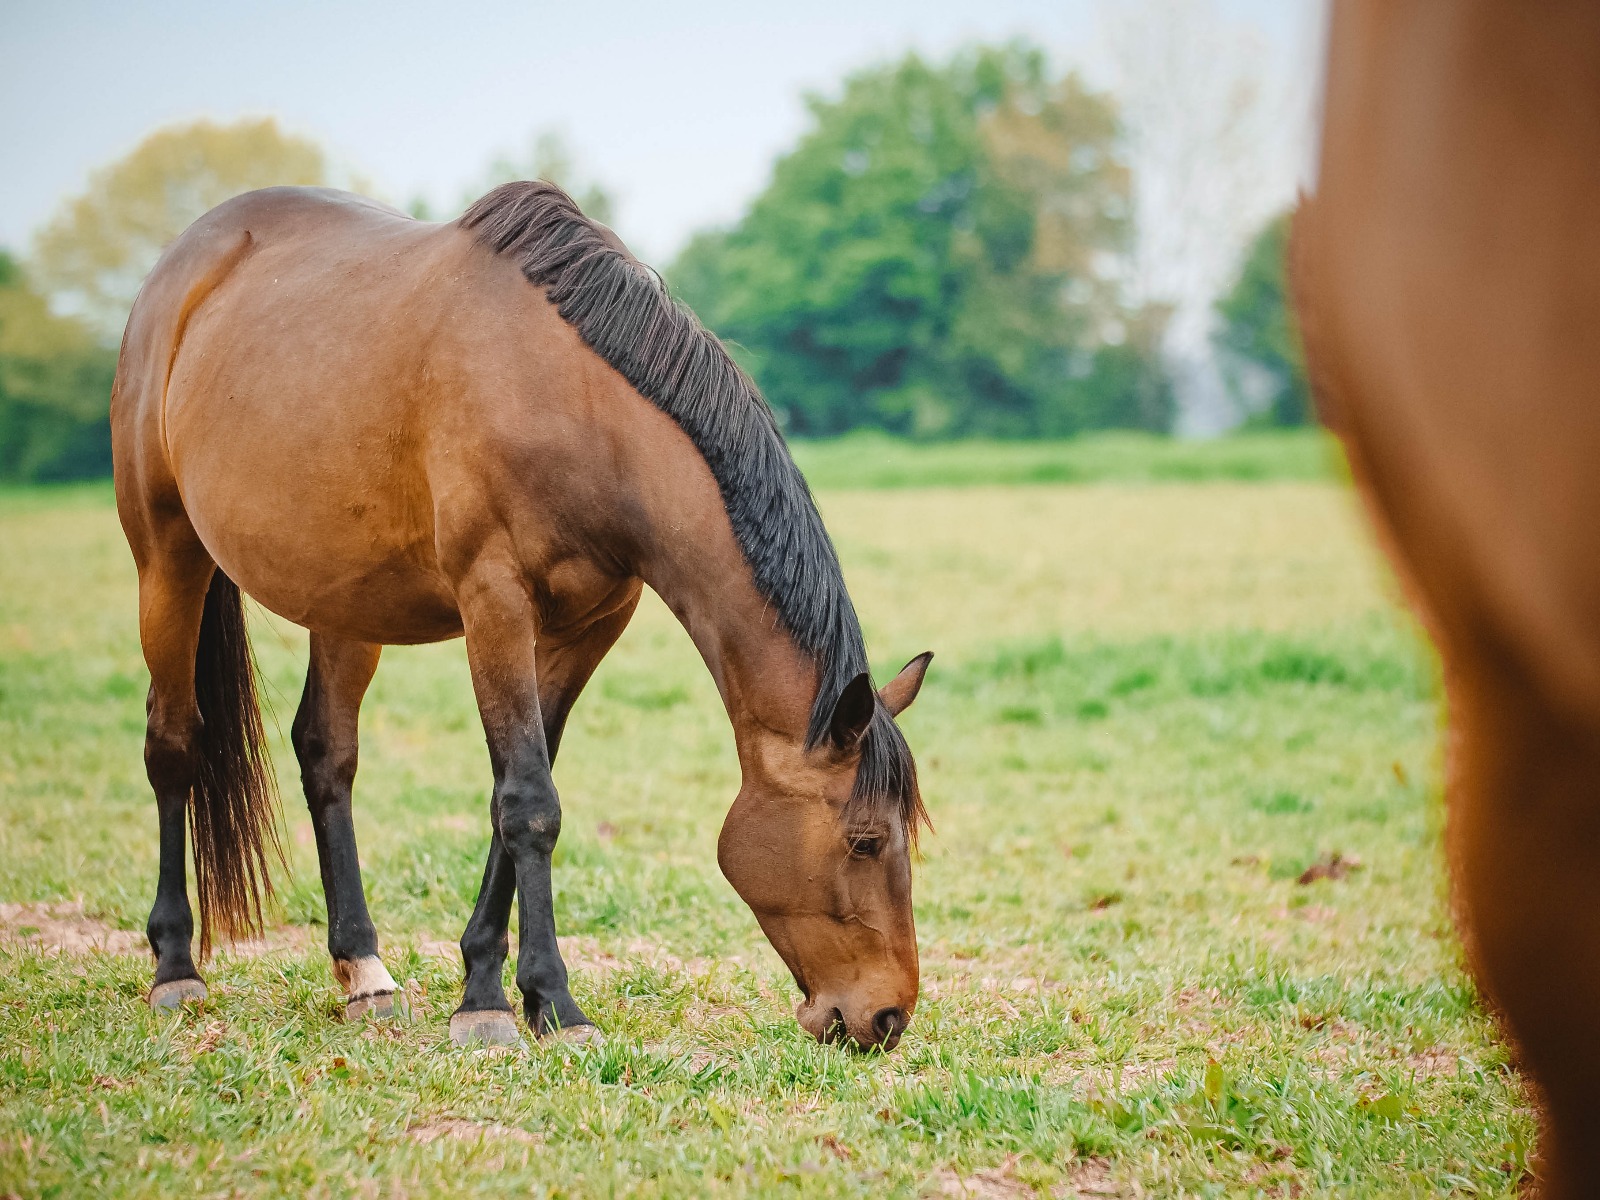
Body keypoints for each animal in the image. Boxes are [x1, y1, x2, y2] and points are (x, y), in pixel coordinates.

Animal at [111, 180, 932, 1051]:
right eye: (865, 840)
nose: (885, 1017)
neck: (578, 411)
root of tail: (182, 268)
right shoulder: (494, 603)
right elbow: (531, 804)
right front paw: (551, 1006)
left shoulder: (586, 628)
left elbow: (520, 792)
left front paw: (490, 989)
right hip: (167, 557)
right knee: (173, 742)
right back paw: (175, 969)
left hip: (342, 602)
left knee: (326, 754)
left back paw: (365, 973)